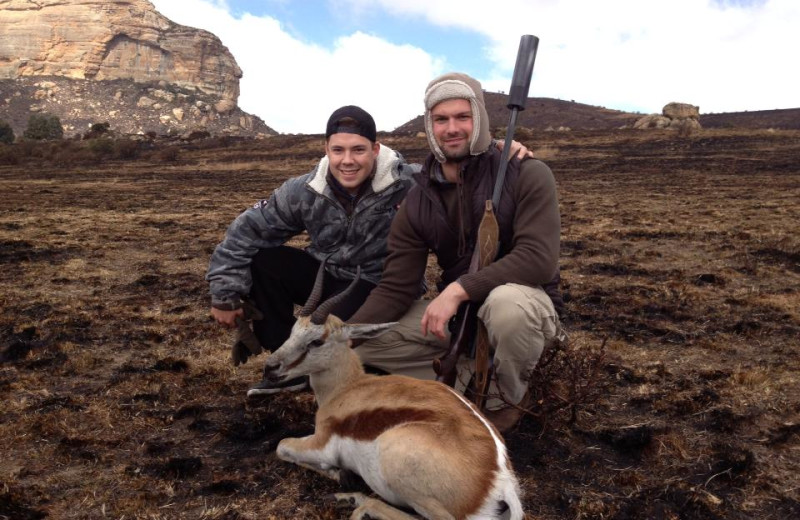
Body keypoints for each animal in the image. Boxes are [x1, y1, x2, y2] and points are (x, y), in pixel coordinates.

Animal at [253, 262, 520, 516]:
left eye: (316, 341)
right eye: (293, 331)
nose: (270, 367)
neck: (345, 389)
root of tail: (498, 481)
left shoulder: (322, 445)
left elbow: (282, 446)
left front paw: (340, 474)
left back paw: (357, 503)